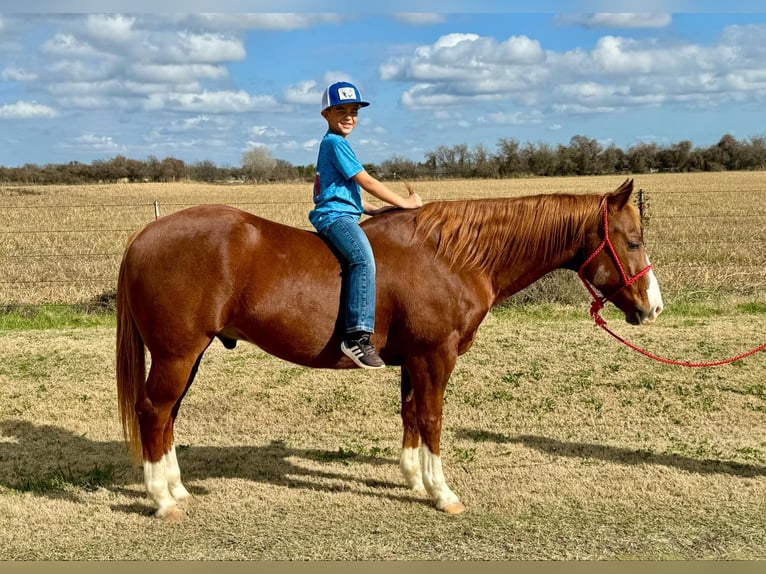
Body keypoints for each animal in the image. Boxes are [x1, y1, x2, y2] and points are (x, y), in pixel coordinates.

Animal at [116, 178, 663, 520]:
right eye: (633, 241)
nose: (653, 307)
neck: (451, 257)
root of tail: (146, 235)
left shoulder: (413, 360)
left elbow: (410, 415)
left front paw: (414, 480)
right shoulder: (436, 356)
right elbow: (433, 418)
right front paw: (442, 492)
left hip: (190, 356)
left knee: (167, 416)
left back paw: (177, 487)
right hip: (177, 354)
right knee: (153, 411)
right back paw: (162, 499)